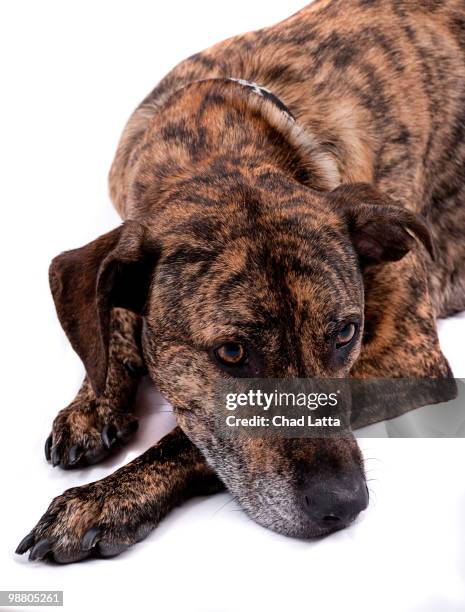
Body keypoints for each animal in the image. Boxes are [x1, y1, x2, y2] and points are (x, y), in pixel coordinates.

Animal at [15, 0, 464, 564]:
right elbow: (106, 312)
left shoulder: (408, 358)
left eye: (345, 334)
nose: (343, 504)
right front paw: (92, 405)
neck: (216, 133)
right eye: (232, 353)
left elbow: (188, 439)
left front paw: (105, 499)